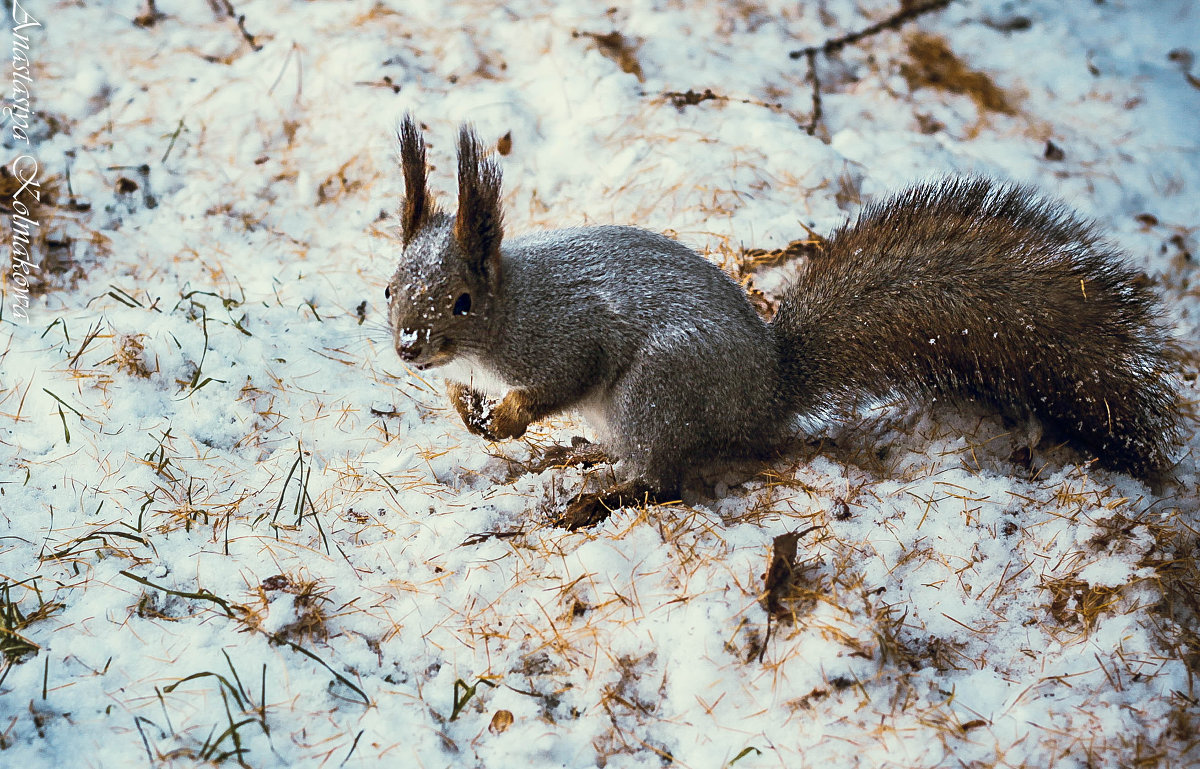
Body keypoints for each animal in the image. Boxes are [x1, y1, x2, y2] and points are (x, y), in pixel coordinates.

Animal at [386, 115, 1180, 527]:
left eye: (461, 302)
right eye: (391, 286)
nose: (408, 347)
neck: (513, 306)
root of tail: (766, 396)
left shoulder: (565, 337)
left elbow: (558, 380)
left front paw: (507, 416)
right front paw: (470, 407)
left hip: (658, 388)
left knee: (662, 479)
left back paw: (597, 495)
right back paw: (583, 456)